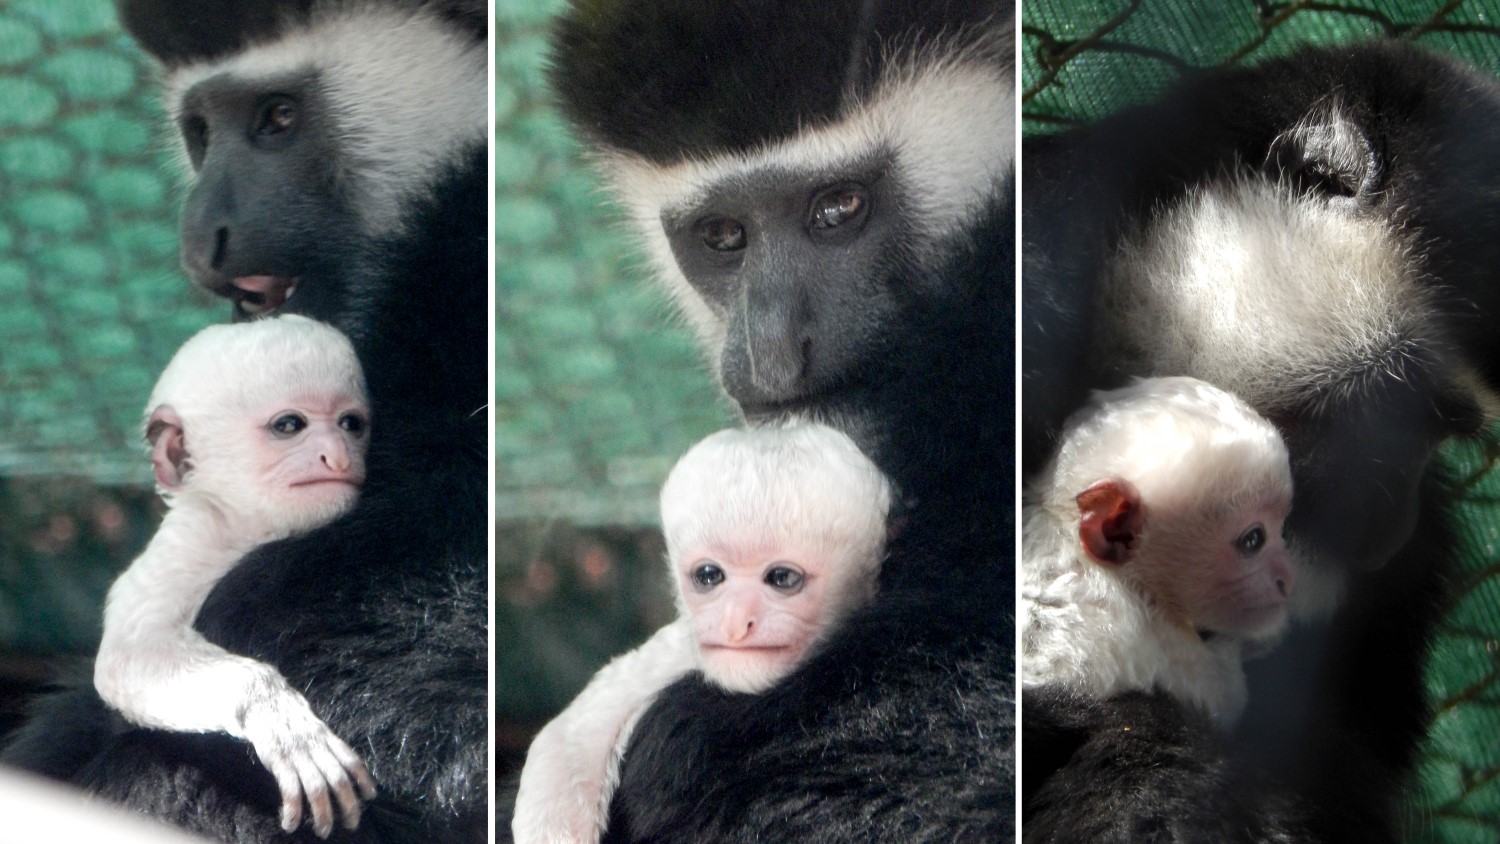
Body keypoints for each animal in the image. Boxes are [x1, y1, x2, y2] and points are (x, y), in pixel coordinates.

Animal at [93, 315, 376, 840]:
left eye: (351, 424)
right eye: (289, 425)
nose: (339, 456)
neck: (251, 529)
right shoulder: (192, 542)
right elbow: (130, 653)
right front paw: (276, 716)